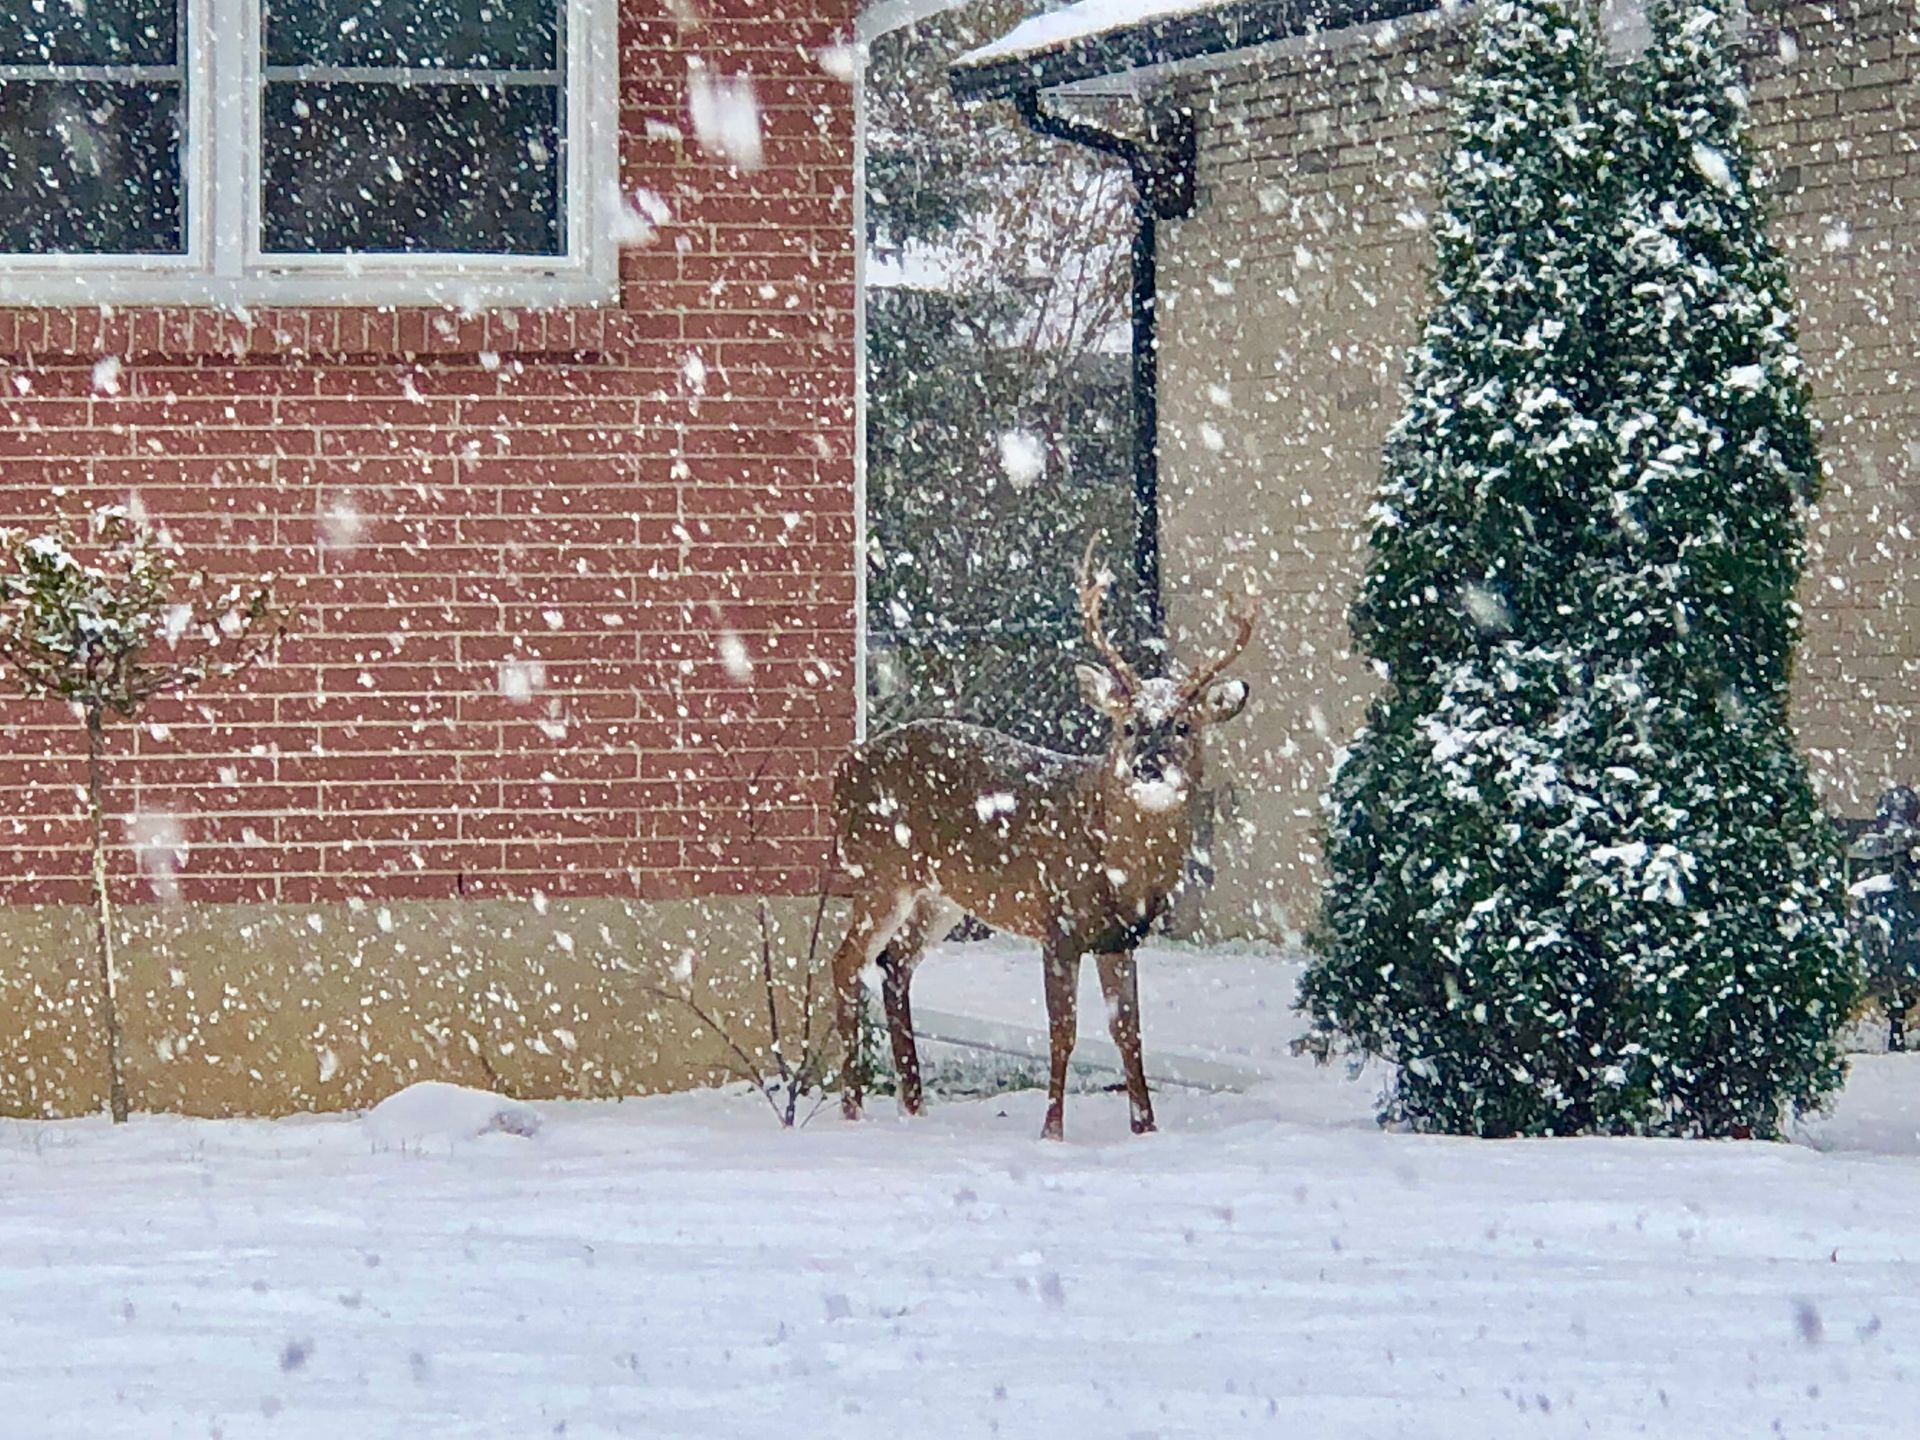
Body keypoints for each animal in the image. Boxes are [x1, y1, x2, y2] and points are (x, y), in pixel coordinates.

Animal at [829, 543, 1256, 1140]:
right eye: (1128, 726)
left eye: (1183, 726)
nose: (1147, 766)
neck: (1119, 865)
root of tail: (843, 770)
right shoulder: (1059, 925)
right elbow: (1063, 1031)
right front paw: (1052, 1131)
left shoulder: (1120, 938)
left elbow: (1129, 1033)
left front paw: (1145, 1130)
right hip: (880, 873)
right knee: (846, 962)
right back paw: (852, 1109)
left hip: (941, 895)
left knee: (895, 963)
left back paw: (913, 1107)